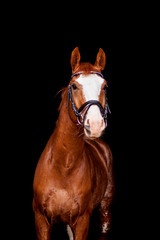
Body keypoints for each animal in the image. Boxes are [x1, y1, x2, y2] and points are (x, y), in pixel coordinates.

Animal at [32, 47, 115, 240]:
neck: (64, 166)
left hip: (105, 207)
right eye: (75, 86)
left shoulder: (82, 221)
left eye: (104, 86)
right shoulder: (41, 220)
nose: (95, 124)